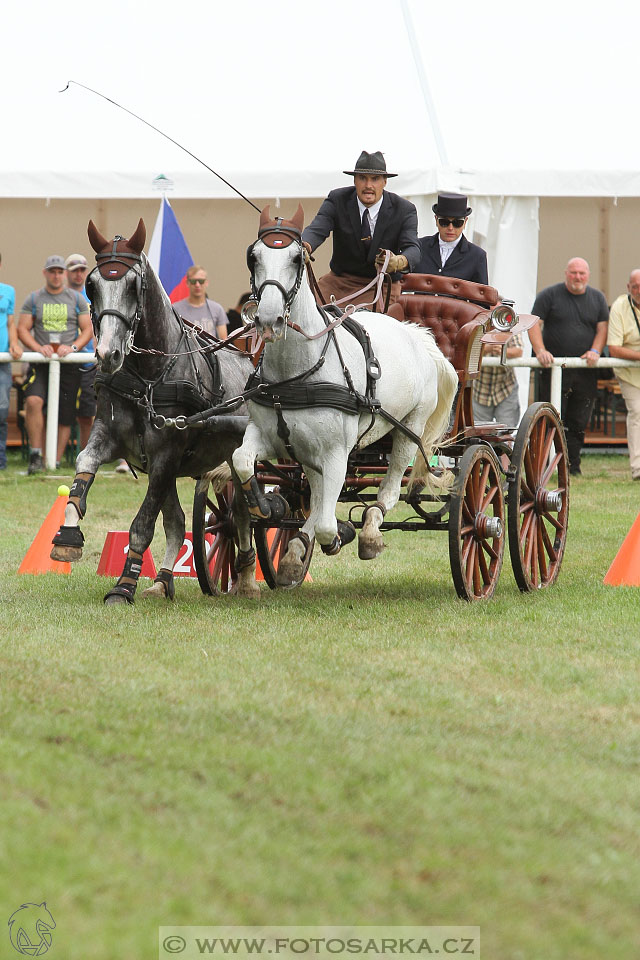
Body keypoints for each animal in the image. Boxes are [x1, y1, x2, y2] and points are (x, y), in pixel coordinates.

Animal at [232, 205, 458, 584]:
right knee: (316, 491)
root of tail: (420, 337)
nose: (268, 319)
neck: (297, 374)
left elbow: (326, 522)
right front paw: (263, 507)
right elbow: (242, 460)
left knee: (389, 489)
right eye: (253, 257)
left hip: (409, 430)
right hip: (309, 452)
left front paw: (340, 534)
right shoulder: (270, 438)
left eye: (296, 258)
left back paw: (369, 532)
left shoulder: (337, 452)